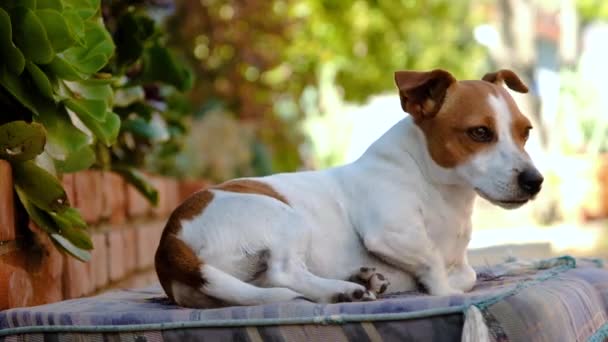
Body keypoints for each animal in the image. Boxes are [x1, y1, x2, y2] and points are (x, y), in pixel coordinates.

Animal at [154, 67, 544, 308]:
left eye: (525, 132)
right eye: (480, 132)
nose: (535, 182)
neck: (435, 185)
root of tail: (169, 240)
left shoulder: (458, 259)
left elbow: (468, 271)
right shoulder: (388, 233)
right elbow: (434, 261)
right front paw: (443, 290)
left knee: (270, 284)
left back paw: (361, 279)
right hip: (285, 218)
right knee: (284, 271)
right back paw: (345, 290)